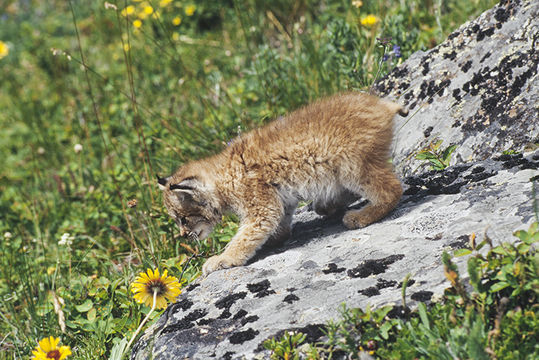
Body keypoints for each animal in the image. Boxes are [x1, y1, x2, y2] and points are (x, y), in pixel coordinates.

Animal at [158, 91, 408, 274]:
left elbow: (245, 236)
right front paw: (273, 239)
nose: (183, 236)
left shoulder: (260, 206)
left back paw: (360, 217)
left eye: (183, 219)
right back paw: (329, 205)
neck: (222, 177)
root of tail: (381, 104)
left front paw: (223, 258)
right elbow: (279, 224)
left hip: (352, 166)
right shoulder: (279, 199)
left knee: (392, 189)